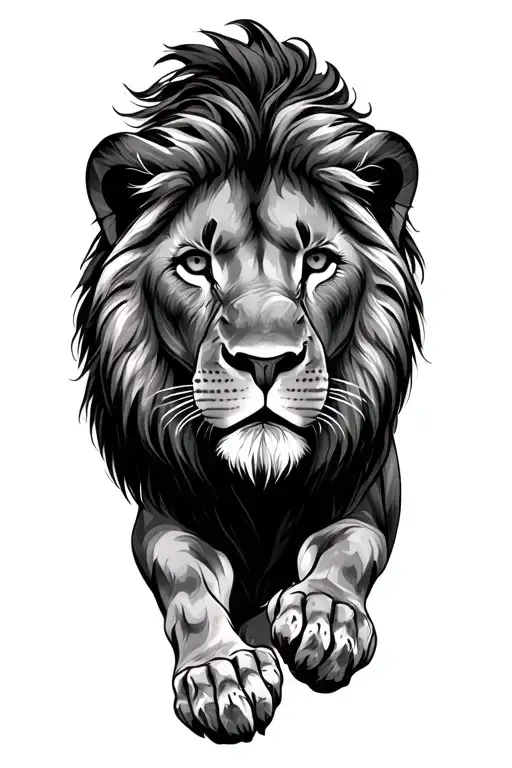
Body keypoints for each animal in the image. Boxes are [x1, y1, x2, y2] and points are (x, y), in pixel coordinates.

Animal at [75, 20, 423, 744]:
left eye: (317, 261)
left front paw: (324, 618)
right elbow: (186, 582)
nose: (265, 362)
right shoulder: (164, 518)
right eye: (195, 264)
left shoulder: (371, 496)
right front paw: (222, 675)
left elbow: (351, 545)